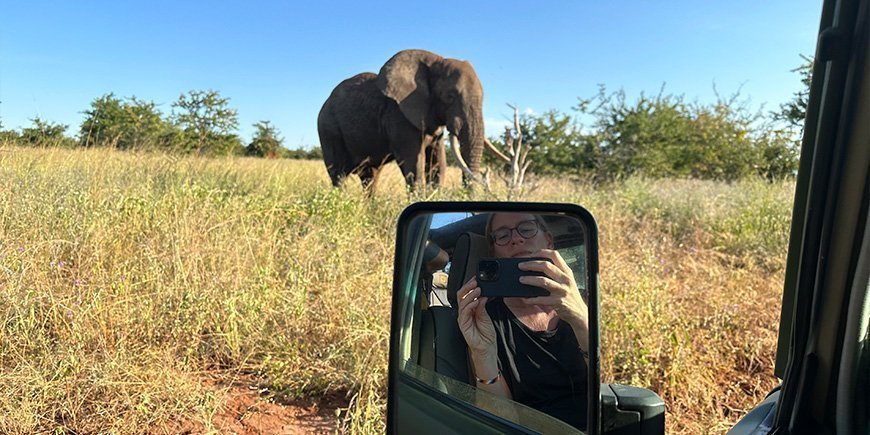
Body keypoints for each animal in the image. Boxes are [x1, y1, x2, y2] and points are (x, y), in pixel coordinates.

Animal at [318, 49, 510, 191]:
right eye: (449, 96)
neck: (435, 61)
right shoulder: (398, 114)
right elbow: (413, 165)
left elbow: (437, 165)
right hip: (328, 130)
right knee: (338, 175)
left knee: (370, 177)